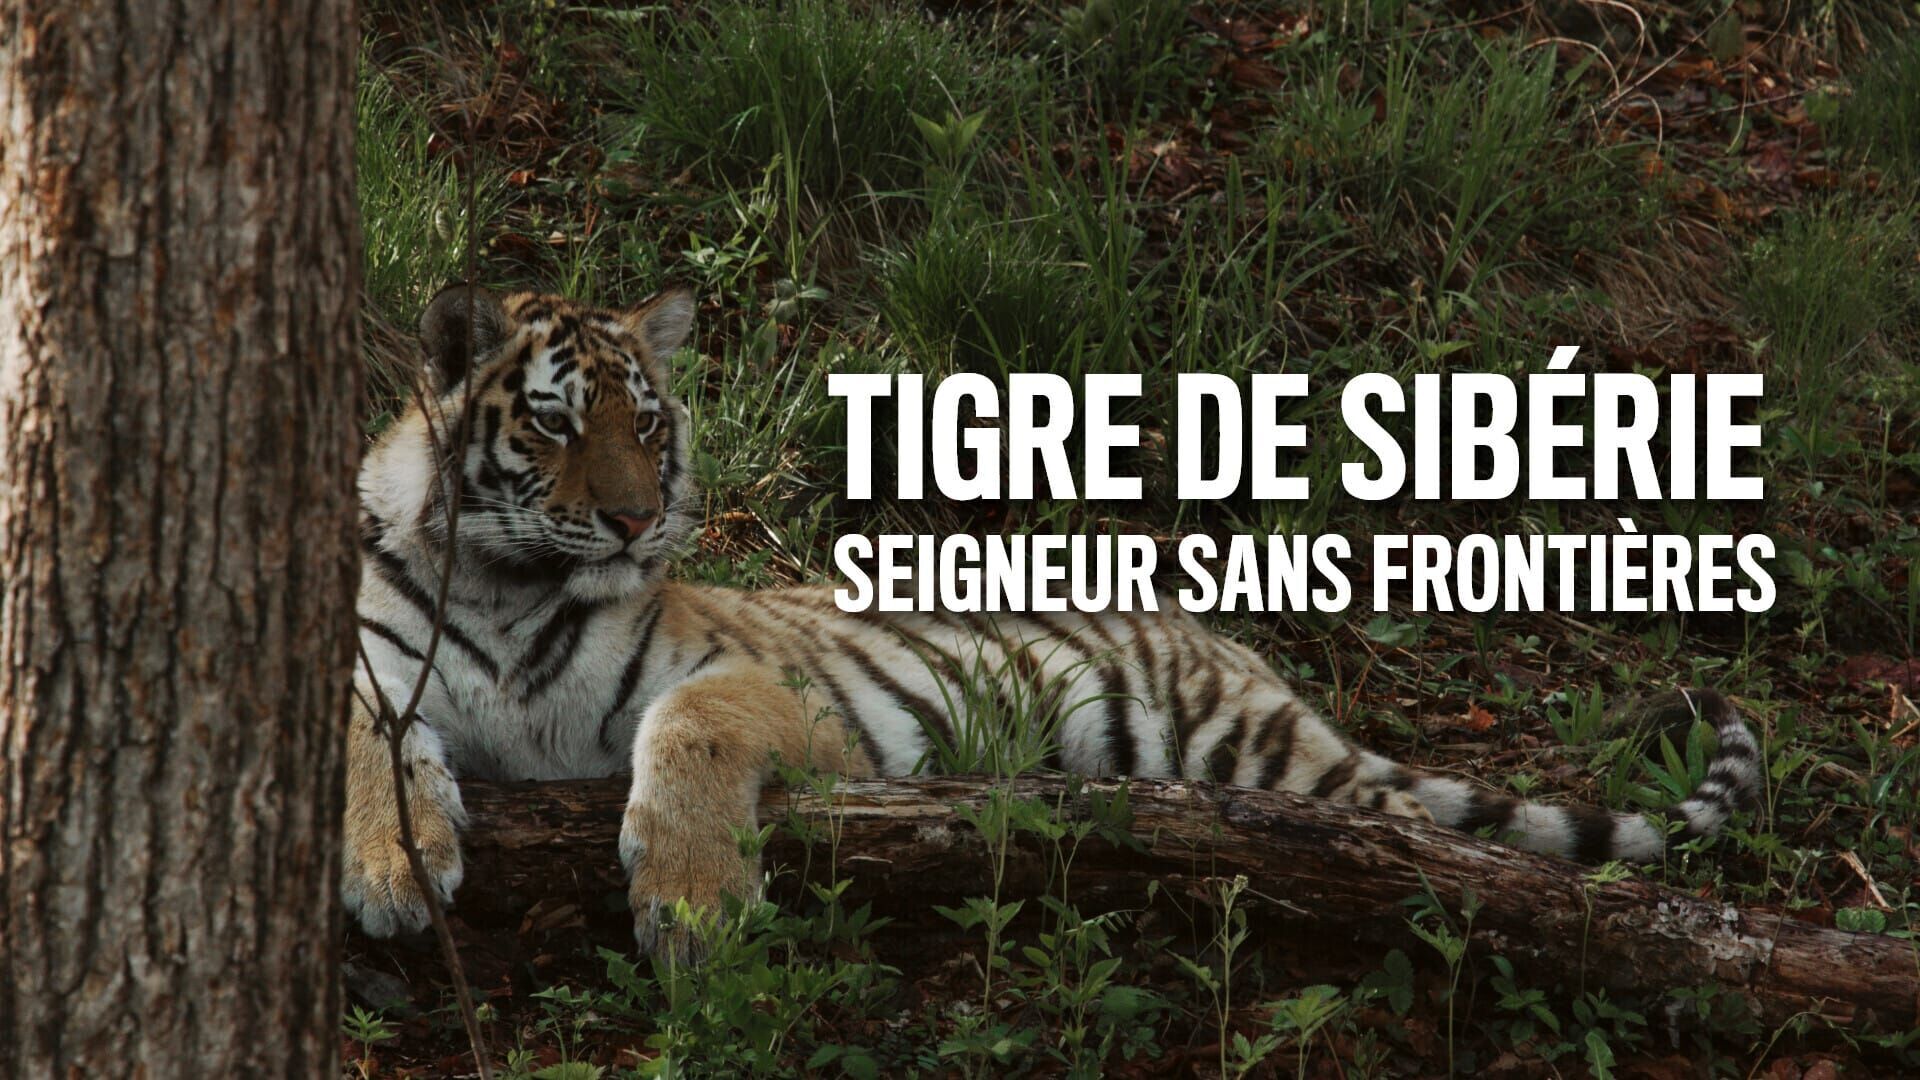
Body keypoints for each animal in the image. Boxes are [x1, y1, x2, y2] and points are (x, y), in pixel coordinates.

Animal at [343, 284, 1764, 951]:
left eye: (646, 424)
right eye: (554, 423)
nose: (640, 523)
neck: (513, 585)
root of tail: (1217, 631)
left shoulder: (763, 689)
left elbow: (687, 727)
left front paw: (693, 906)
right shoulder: (372, 668)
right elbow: (364, 744)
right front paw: (390, 875)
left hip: (1253, 752)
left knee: (1407, 826)